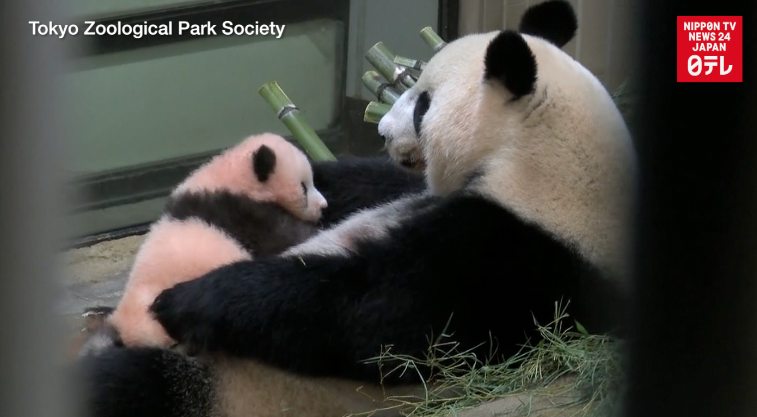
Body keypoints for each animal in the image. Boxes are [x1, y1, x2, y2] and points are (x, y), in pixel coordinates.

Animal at [77, 1, 637, 416]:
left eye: (423, 103)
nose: (384, 131)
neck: (539, 159)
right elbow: (365, 186)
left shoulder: (519, 255)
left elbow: (379, 322)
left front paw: (188, 299)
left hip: (233, 388)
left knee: (129, 388)